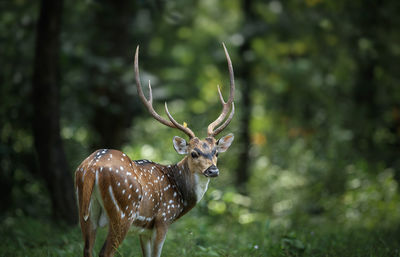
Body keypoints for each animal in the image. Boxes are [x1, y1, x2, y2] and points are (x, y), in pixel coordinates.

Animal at [75, 44, 234, 256]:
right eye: (194, 153)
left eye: (216, 153)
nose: (213, 170)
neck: (180, 196)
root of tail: (92, 168)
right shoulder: (162, 219)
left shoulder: (144, 229)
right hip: (123, 212)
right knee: (105, 251)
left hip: (84, 211)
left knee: (87, 249)